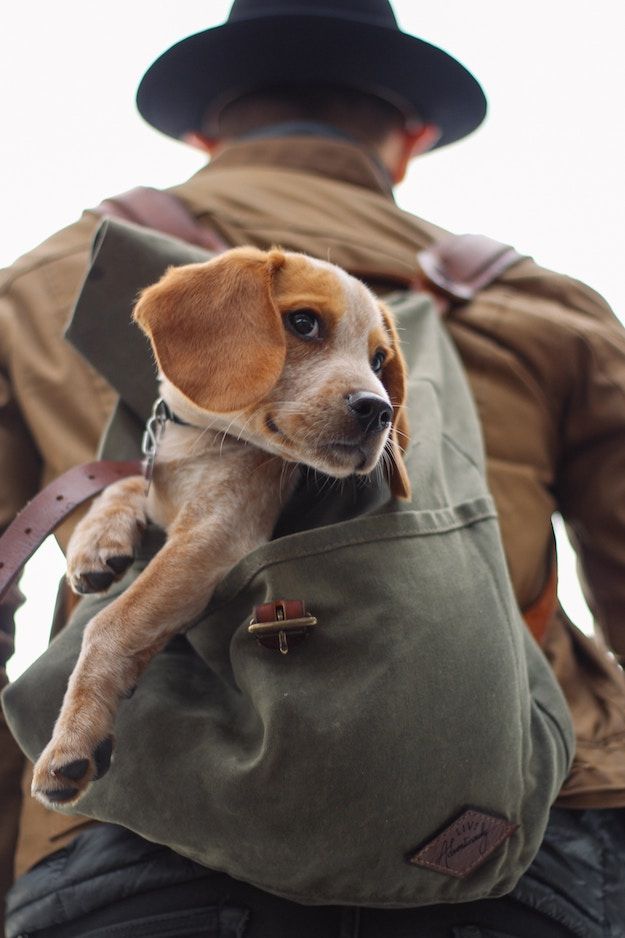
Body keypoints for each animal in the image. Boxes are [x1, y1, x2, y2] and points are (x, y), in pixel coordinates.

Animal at [31, 247, 410, 804]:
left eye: (379, 361)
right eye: (303, 322)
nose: (379, 410)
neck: (199, 443)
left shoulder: (214, 536)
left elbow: (110, 625)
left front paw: (74, 734)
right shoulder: (166, 498)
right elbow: (126, 483)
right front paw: (96, 541)